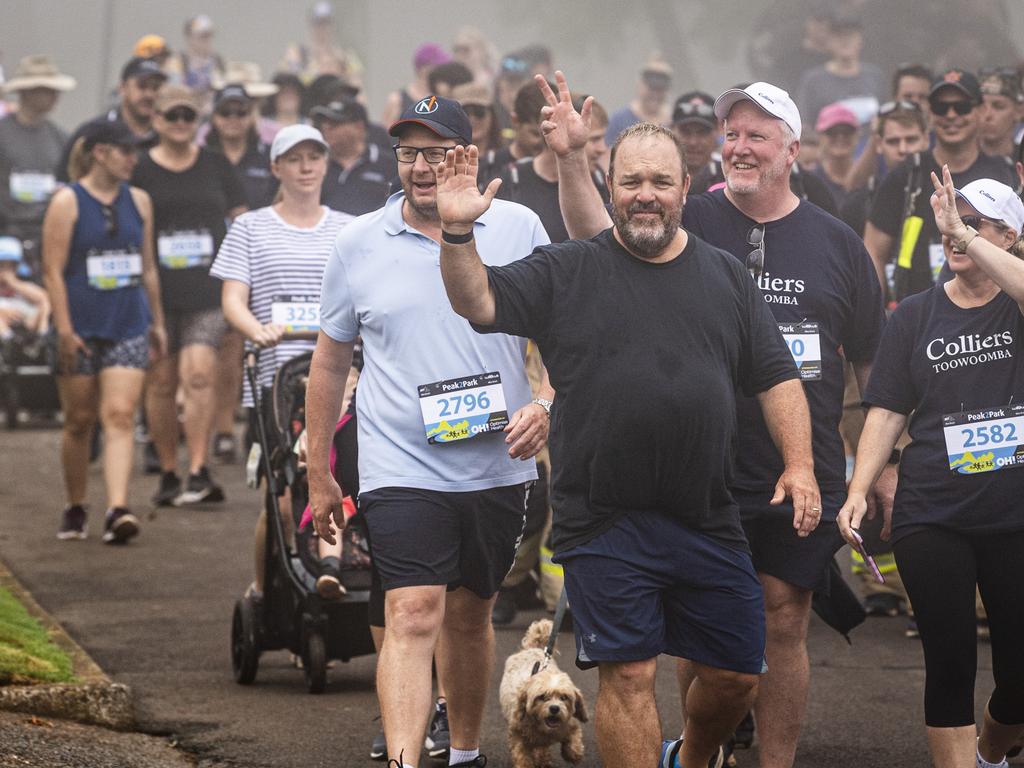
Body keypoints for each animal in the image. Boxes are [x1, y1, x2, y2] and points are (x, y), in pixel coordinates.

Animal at [499, 618, 589, 768]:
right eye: (542, 697)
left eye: (564, 697)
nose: (554, 708)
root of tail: (532, 648)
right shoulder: (517, 734)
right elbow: (522, 755)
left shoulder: (568, 725)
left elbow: (574, 736)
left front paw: (573, 753)